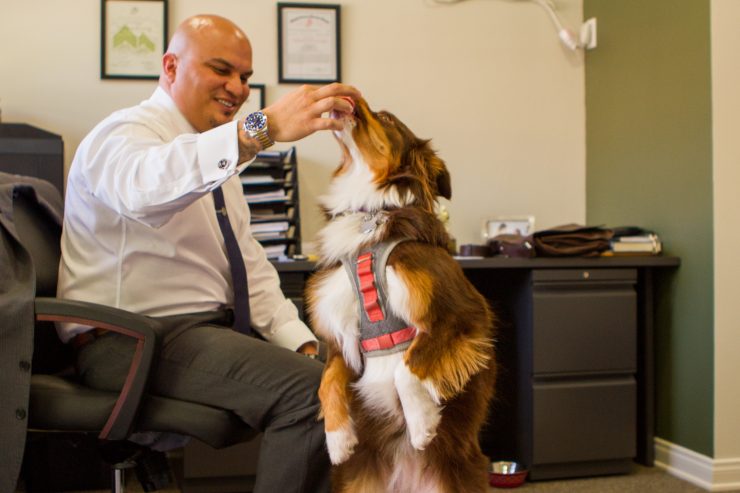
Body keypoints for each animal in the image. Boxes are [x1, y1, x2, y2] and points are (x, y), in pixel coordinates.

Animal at [306, 99, 498, 492]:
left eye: (386, 119)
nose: (351, 98)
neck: (370, 218)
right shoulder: (339, 340)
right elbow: (327, 381)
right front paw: (337, 439)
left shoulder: (464, 315)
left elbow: (409, 366)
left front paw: (422, 424)